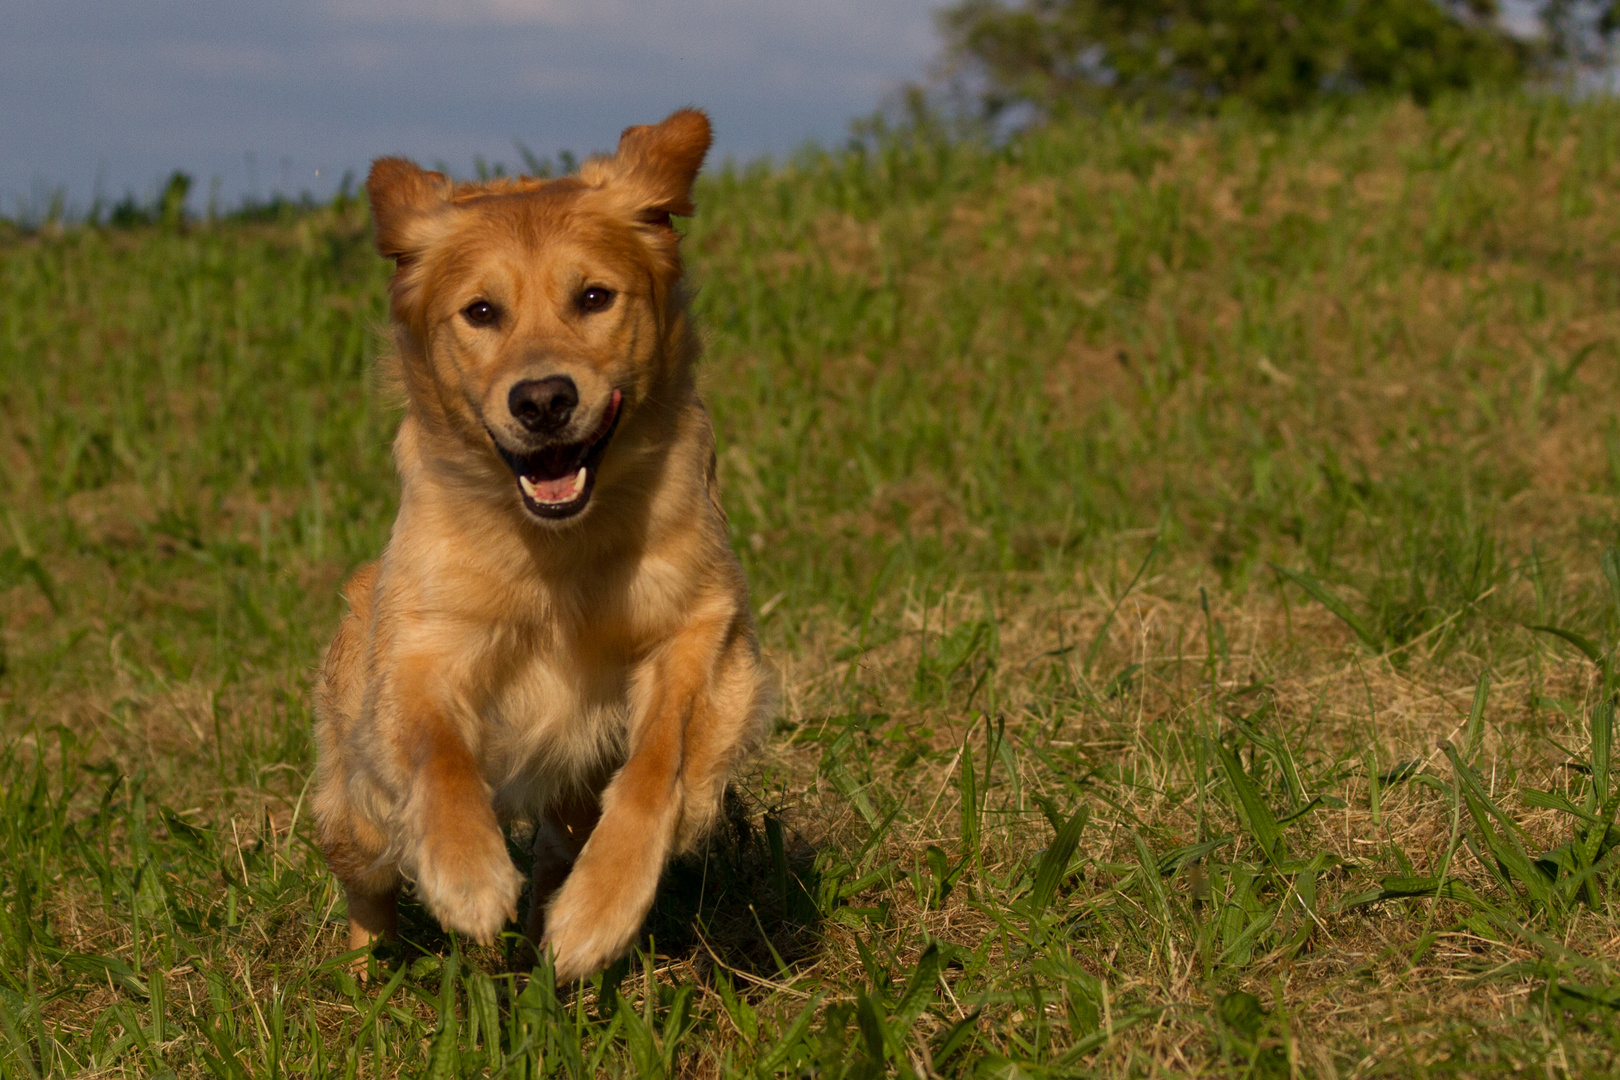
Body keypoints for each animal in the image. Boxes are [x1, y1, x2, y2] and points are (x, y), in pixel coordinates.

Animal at [314, 110, 771, 977]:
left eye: (593, 297)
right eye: (481, 312)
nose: (544, 400)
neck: (560, 548)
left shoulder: (702, 623)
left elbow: (659, 759)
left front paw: (601, 910)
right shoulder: (424, 641)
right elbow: (437, 751)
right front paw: (466, 875)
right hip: (357, 798)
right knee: (366, 879)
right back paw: (362, 974)